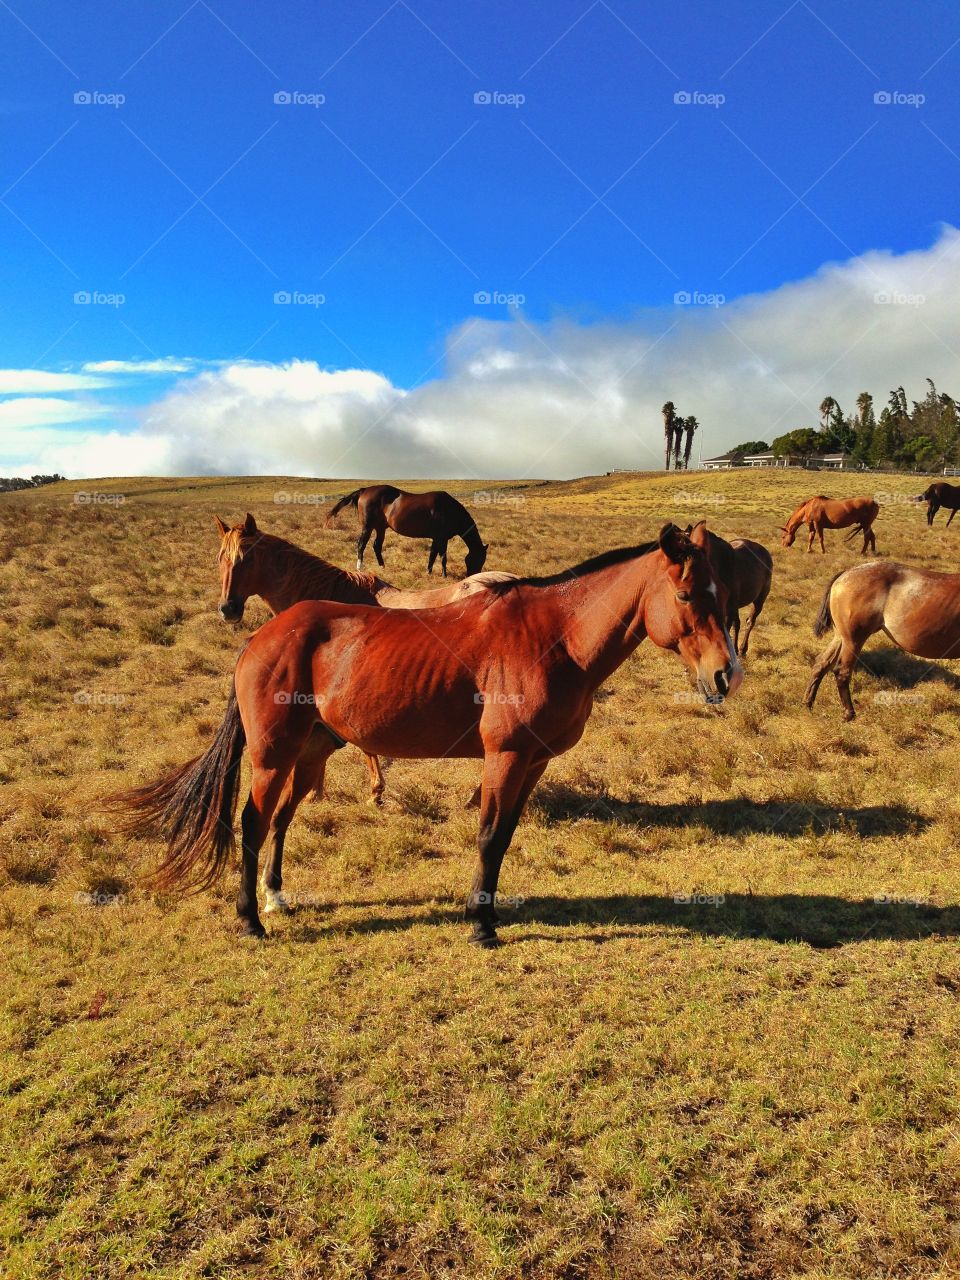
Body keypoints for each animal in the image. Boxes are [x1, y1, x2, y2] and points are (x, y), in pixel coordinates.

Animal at [326, 484, 488, 577]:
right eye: (479, 558)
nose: (473, 576)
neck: (449, 509)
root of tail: (364, 490)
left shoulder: (436, 538)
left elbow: (432, 555)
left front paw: (428, 572)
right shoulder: (441, 538)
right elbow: (442, 557)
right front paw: (444, 575)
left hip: (380, 528)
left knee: (376, 546)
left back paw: (383, 567)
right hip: (368, 527)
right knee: (361, 545)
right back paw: (360, 567)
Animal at [804, 561, 960, 720]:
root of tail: (845, 574)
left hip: (841, 637)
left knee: (821, 663)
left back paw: (808, 703)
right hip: (854, 640)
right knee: (842, 671)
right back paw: (849, 713)